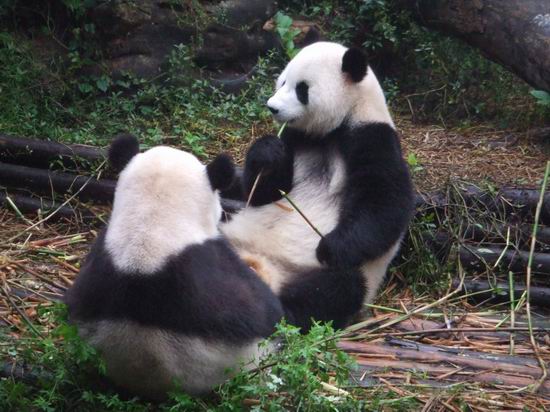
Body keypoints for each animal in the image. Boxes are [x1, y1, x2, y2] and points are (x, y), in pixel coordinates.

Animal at [220, 41, 414, 332]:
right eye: (282, 81)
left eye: (302, 89)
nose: (272, 107)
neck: (330, 131)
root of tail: (259, 266)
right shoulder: (295, 139)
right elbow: (262, 192)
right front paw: (267, 151)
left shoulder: (372, 138)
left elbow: (385, 202)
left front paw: (330, 247)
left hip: (332, 275)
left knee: (334, 290)